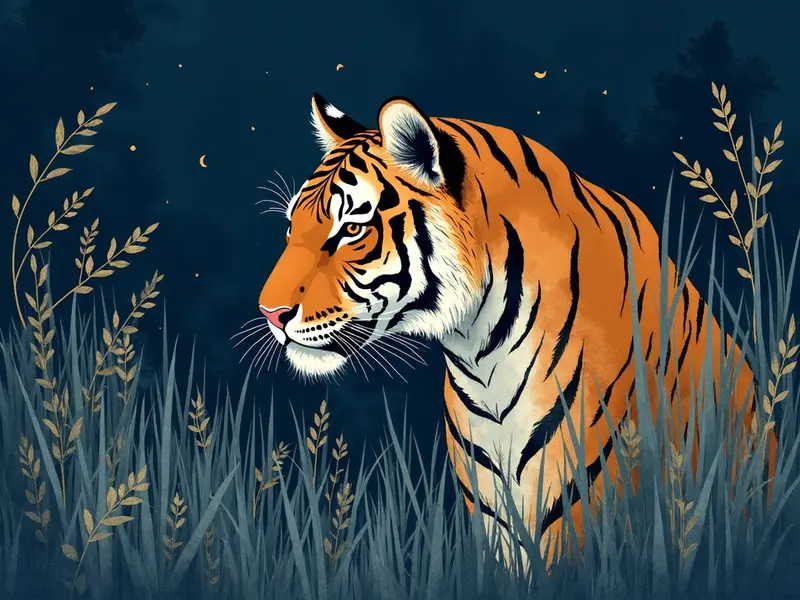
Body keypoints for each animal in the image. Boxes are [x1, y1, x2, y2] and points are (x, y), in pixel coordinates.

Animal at [257, 93, 777, 568]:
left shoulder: (578, 495)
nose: (270, 312)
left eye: (351, 228)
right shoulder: (491, 502)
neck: (479, 353)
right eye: (291, 227)